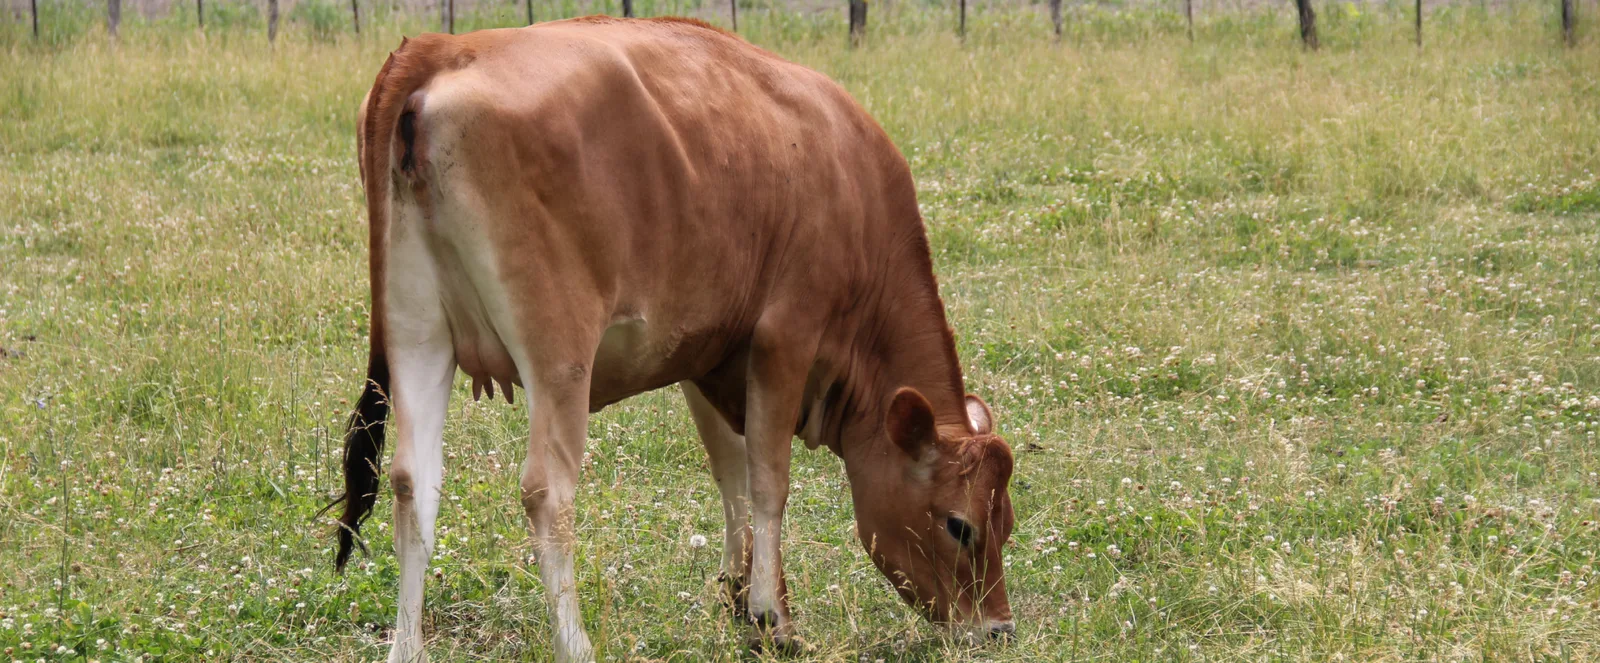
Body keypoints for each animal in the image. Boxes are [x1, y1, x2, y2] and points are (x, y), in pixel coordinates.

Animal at [324, 16, 1017, 663]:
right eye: (960, 526)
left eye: (1006, 522)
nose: (998, 627)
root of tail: (443, 47)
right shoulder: (785, 337)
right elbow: (768, 480)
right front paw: (773, 616)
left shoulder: (707, 354)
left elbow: (730, 470)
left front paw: (740, 599)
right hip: (558, 355)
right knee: (546, 490)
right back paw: (575, 642)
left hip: (417, 333)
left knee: (414, 482)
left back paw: (407, 645)